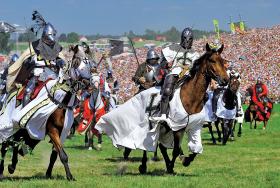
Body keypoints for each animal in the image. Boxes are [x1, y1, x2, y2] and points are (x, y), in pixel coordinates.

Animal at [138, 43, 230, 174]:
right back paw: (144, 165)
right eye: (212, 60)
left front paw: (185, 161)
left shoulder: (194, 126)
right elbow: (176, 149)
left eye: (223, 61)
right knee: (148, 145)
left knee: (162, 146)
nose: (225, 80)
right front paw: (172, 166)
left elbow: (196, 148)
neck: (191, 96)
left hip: (165, 128)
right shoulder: (178, 128)